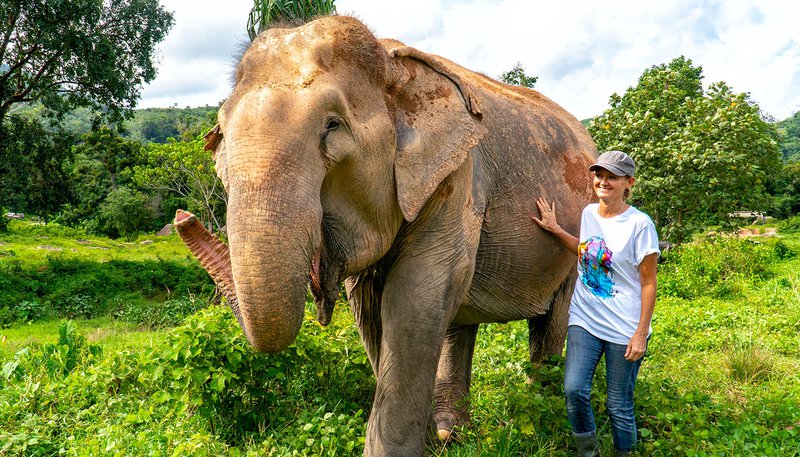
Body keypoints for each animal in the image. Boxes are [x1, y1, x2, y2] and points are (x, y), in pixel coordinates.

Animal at [178, 15, 596, 456]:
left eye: (332, 125)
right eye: (221, 134)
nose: (183, 216)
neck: (391, 66)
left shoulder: (459, 173)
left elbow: (414, 298)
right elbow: (371, 308)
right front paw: (428, 440)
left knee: (551, 325)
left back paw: (542, 416)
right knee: (458, 320)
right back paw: (451, 434)